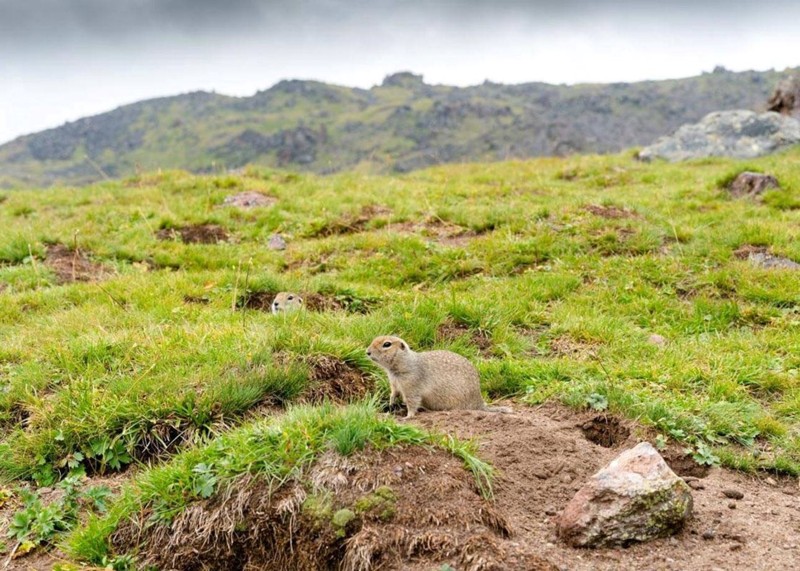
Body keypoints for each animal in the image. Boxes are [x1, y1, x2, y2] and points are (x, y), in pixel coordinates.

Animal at [368, 336, 512, 420]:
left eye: (387, 344)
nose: (367, 352)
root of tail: (479, 402)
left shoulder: (411, 385)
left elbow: (413, 401)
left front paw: (407, 416)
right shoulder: (394, 383)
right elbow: (394, 393)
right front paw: (391, 403)